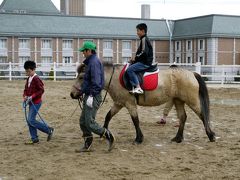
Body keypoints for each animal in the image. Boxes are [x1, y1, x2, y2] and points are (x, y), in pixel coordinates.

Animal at [70, 62, 216, 144]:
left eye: (82, 77)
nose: (72, 94)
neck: (115, 78)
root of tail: (192, 73)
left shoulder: (129, 104)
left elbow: (135, 120)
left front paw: (139, 139)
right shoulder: (119, 103)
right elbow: (108, 116)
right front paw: (105, 134)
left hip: (192, 100)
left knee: (202, 115)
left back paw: (211, 136)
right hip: (178, 100)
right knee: (183, 117)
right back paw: (178, 138)